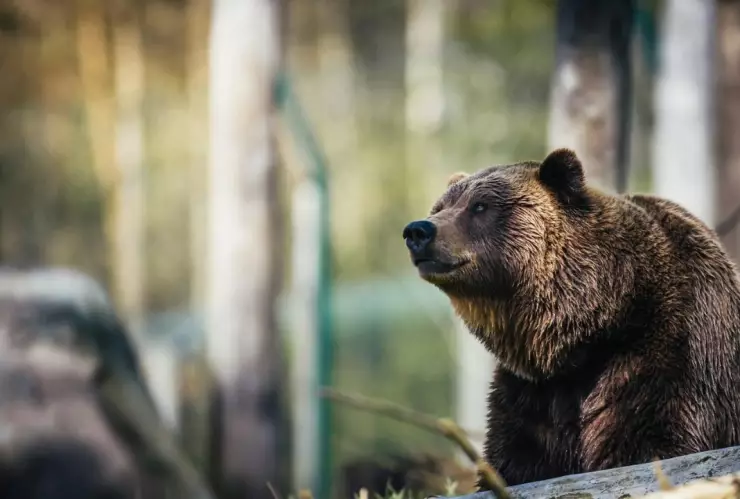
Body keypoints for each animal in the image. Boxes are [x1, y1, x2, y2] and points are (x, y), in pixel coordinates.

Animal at [402, 148, 740, 489]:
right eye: (440, 206)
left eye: (480, 206)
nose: (418, 230)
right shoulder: (531, 394)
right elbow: (514, 459)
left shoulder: (666, 353)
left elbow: (651, 441)